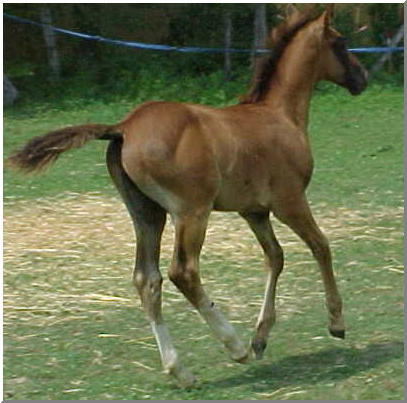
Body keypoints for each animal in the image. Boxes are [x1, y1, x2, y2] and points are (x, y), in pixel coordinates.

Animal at [8, 7, 370, 388]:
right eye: (340, 43)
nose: (362, 77)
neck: (280, 114)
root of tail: (123, 127)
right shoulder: (289, 201)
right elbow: (321, 246)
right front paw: (335, 323)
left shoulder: (253, 211)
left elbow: (275, 257)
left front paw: (261, 337)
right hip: (192, 212)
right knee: (183, 272)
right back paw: (233, 346)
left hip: (147, 214)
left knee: (147, 279)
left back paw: (180, 369)